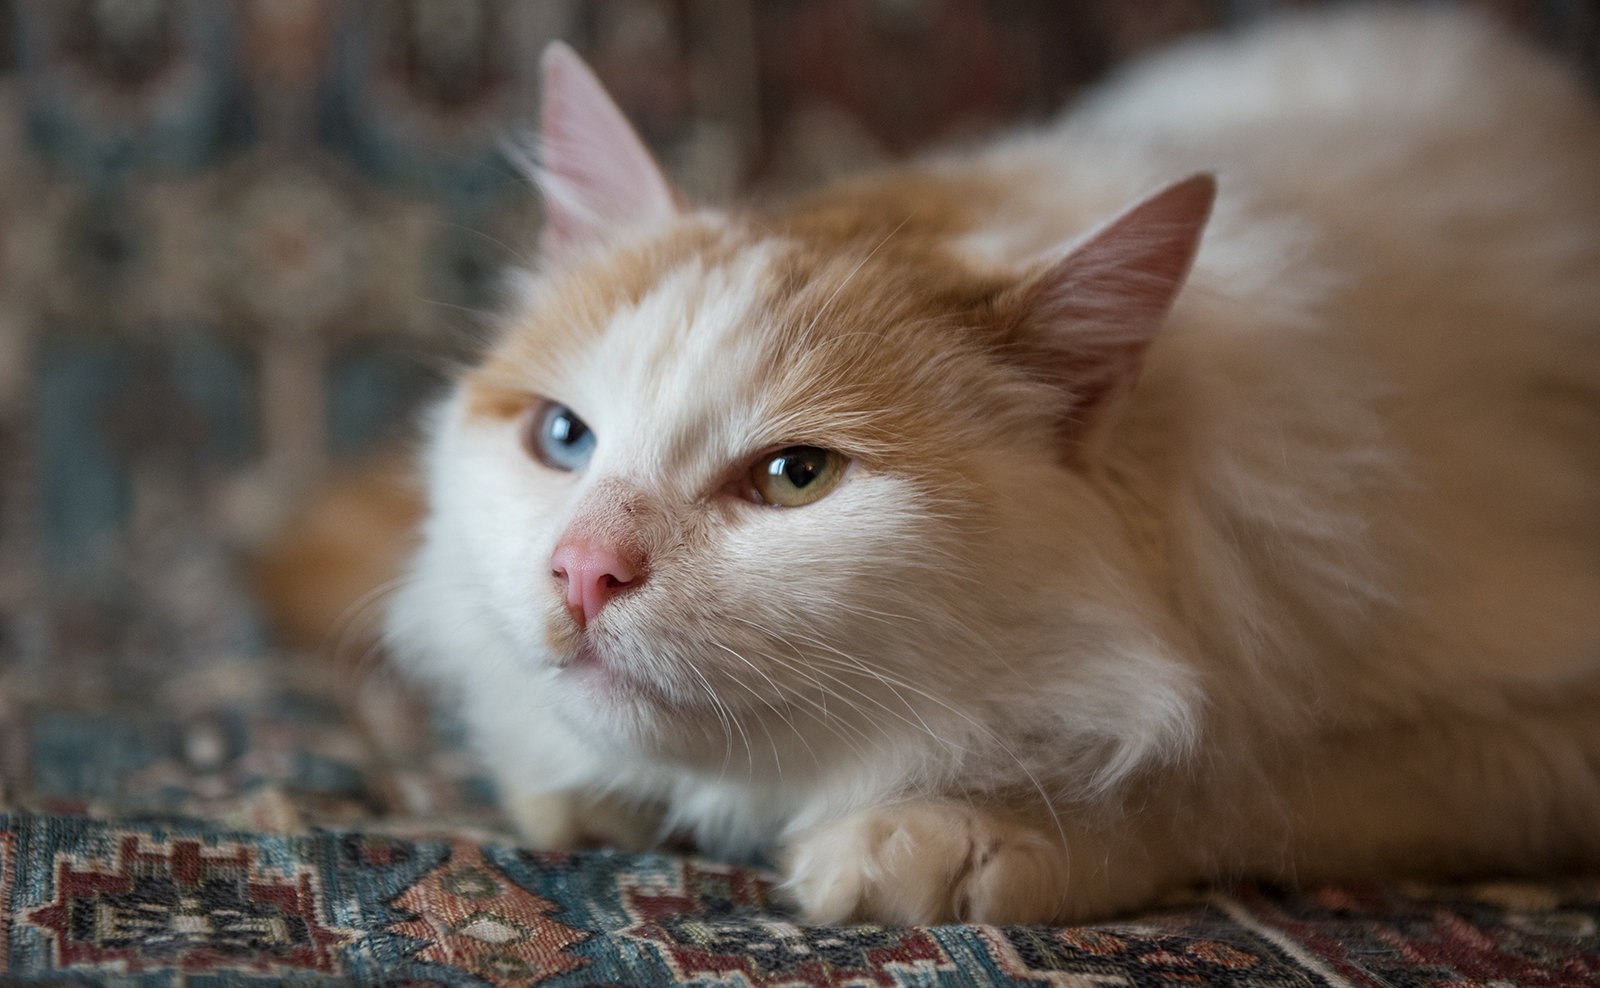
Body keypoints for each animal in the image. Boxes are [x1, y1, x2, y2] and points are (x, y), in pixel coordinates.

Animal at [291, 3, 1600, 920]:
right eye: (561, 440)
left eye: (795, 477)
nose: (580, 570)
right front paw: (575, 774)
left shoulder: (1530, 725)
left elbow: (1240, 777)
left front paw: (964, 831)